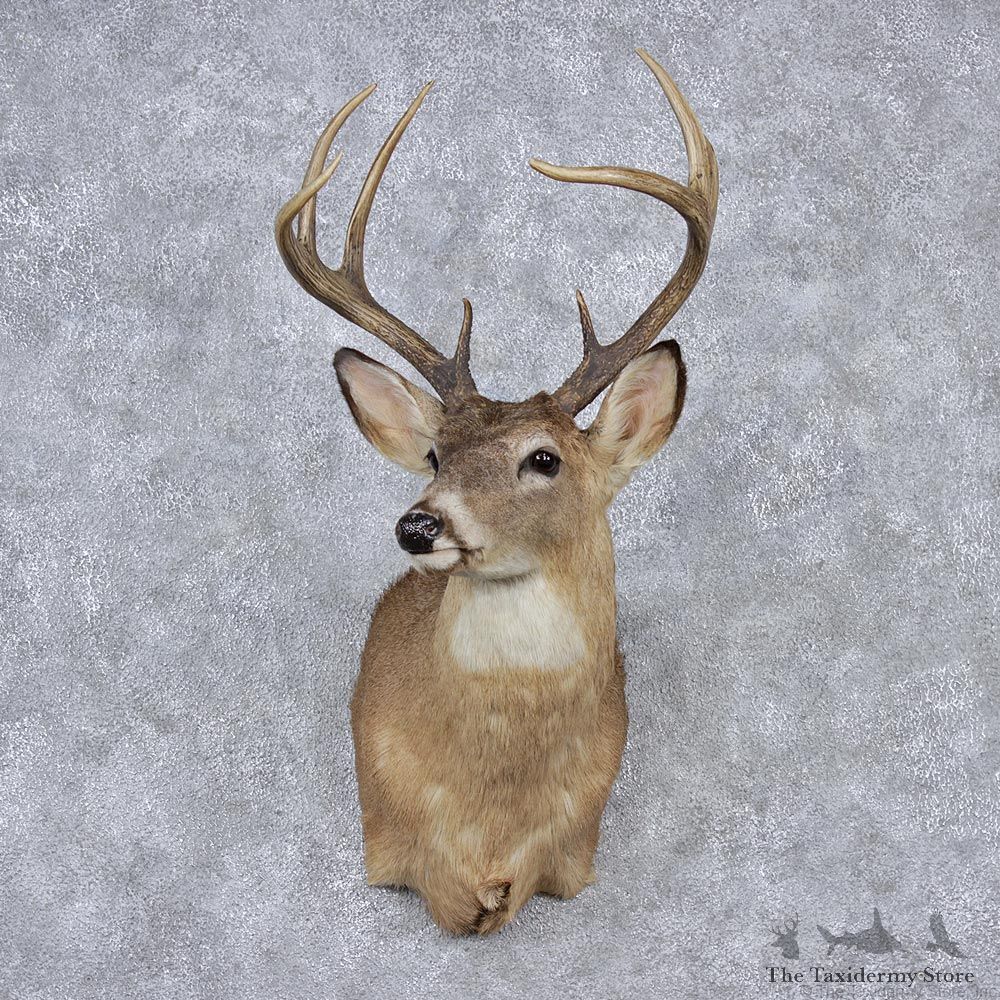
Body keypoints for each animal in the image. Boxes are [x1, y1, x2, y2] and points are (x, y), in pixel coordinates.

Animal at [275, 49, 718, 935]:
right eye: (435, 454)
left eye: (543, 458)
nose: (418, 526)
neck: (492, 811)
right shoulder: (391, 839)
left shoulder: (574, 850)